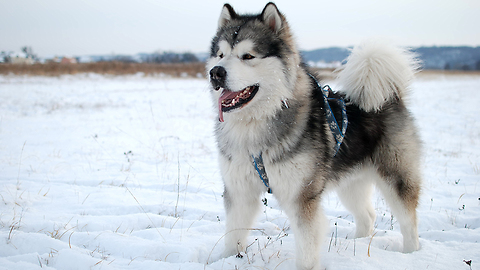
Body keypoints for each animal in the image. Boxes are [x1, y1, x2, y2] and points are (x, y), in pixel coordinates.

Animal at [205, 2, 420, 270]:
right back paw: (356, 246)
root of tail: (391, 96)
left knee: (409, 220)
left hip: (396, 176)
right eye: (220, 55)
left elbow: (307, 247)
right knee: (367, 215)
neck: (256, 125)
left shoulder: (302, 196)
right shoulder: (239, 190)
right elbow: (233, 234)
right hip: (351, 182)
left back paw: (412, 254)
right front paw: (225, 260)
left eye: (248, 56)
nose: (216, 73)